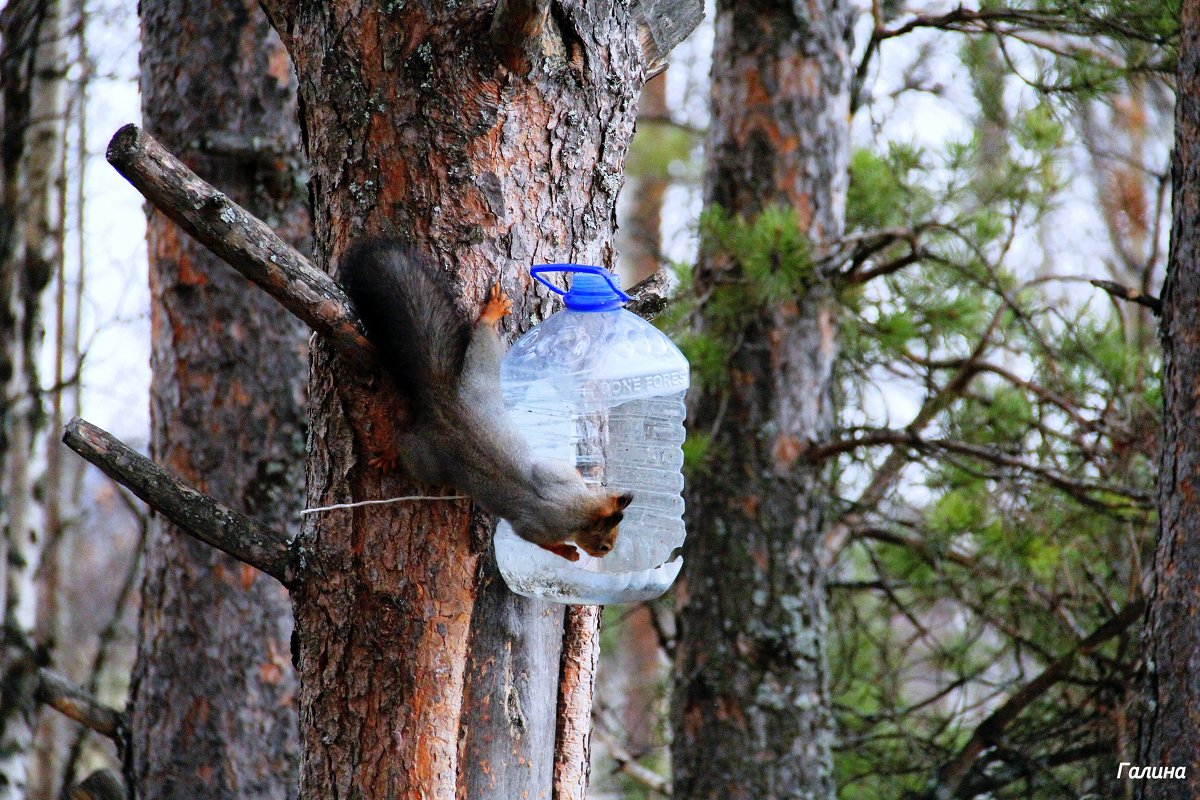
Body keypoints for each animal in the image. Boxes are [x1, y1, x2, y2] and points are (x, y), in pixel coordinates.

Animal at [338, 239, 633, 563]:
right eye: (604, 544)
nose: (606, 554)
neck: (575, 504)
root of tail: (446, 401)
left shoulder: (559, 474)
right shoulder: (534, 525)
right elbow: (539, 541)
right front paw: (567, 552)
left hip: (479, 374)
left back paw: (491, 313)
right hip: (429, 459)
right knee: (407, 447)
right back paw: (390, 453)